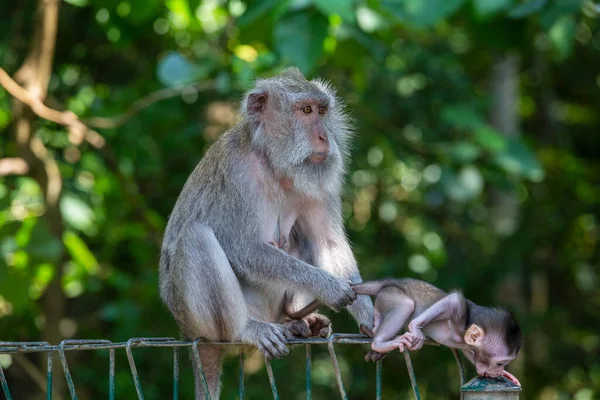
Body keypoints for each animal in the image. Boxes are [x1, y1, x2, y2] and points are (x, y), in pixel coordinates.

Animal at [352, 278, 520, 384]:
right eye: (500, 363)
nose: (498, 372)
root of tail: (392, 282)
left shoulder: (468, 344)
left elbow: (470, 353)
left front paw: (506, 374)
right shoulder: (460, 320)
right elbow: (454, 300)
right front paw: (415, 327)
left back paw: (372, 333)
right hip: (391, 295)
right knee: (406, 305)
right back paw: (379, 344)